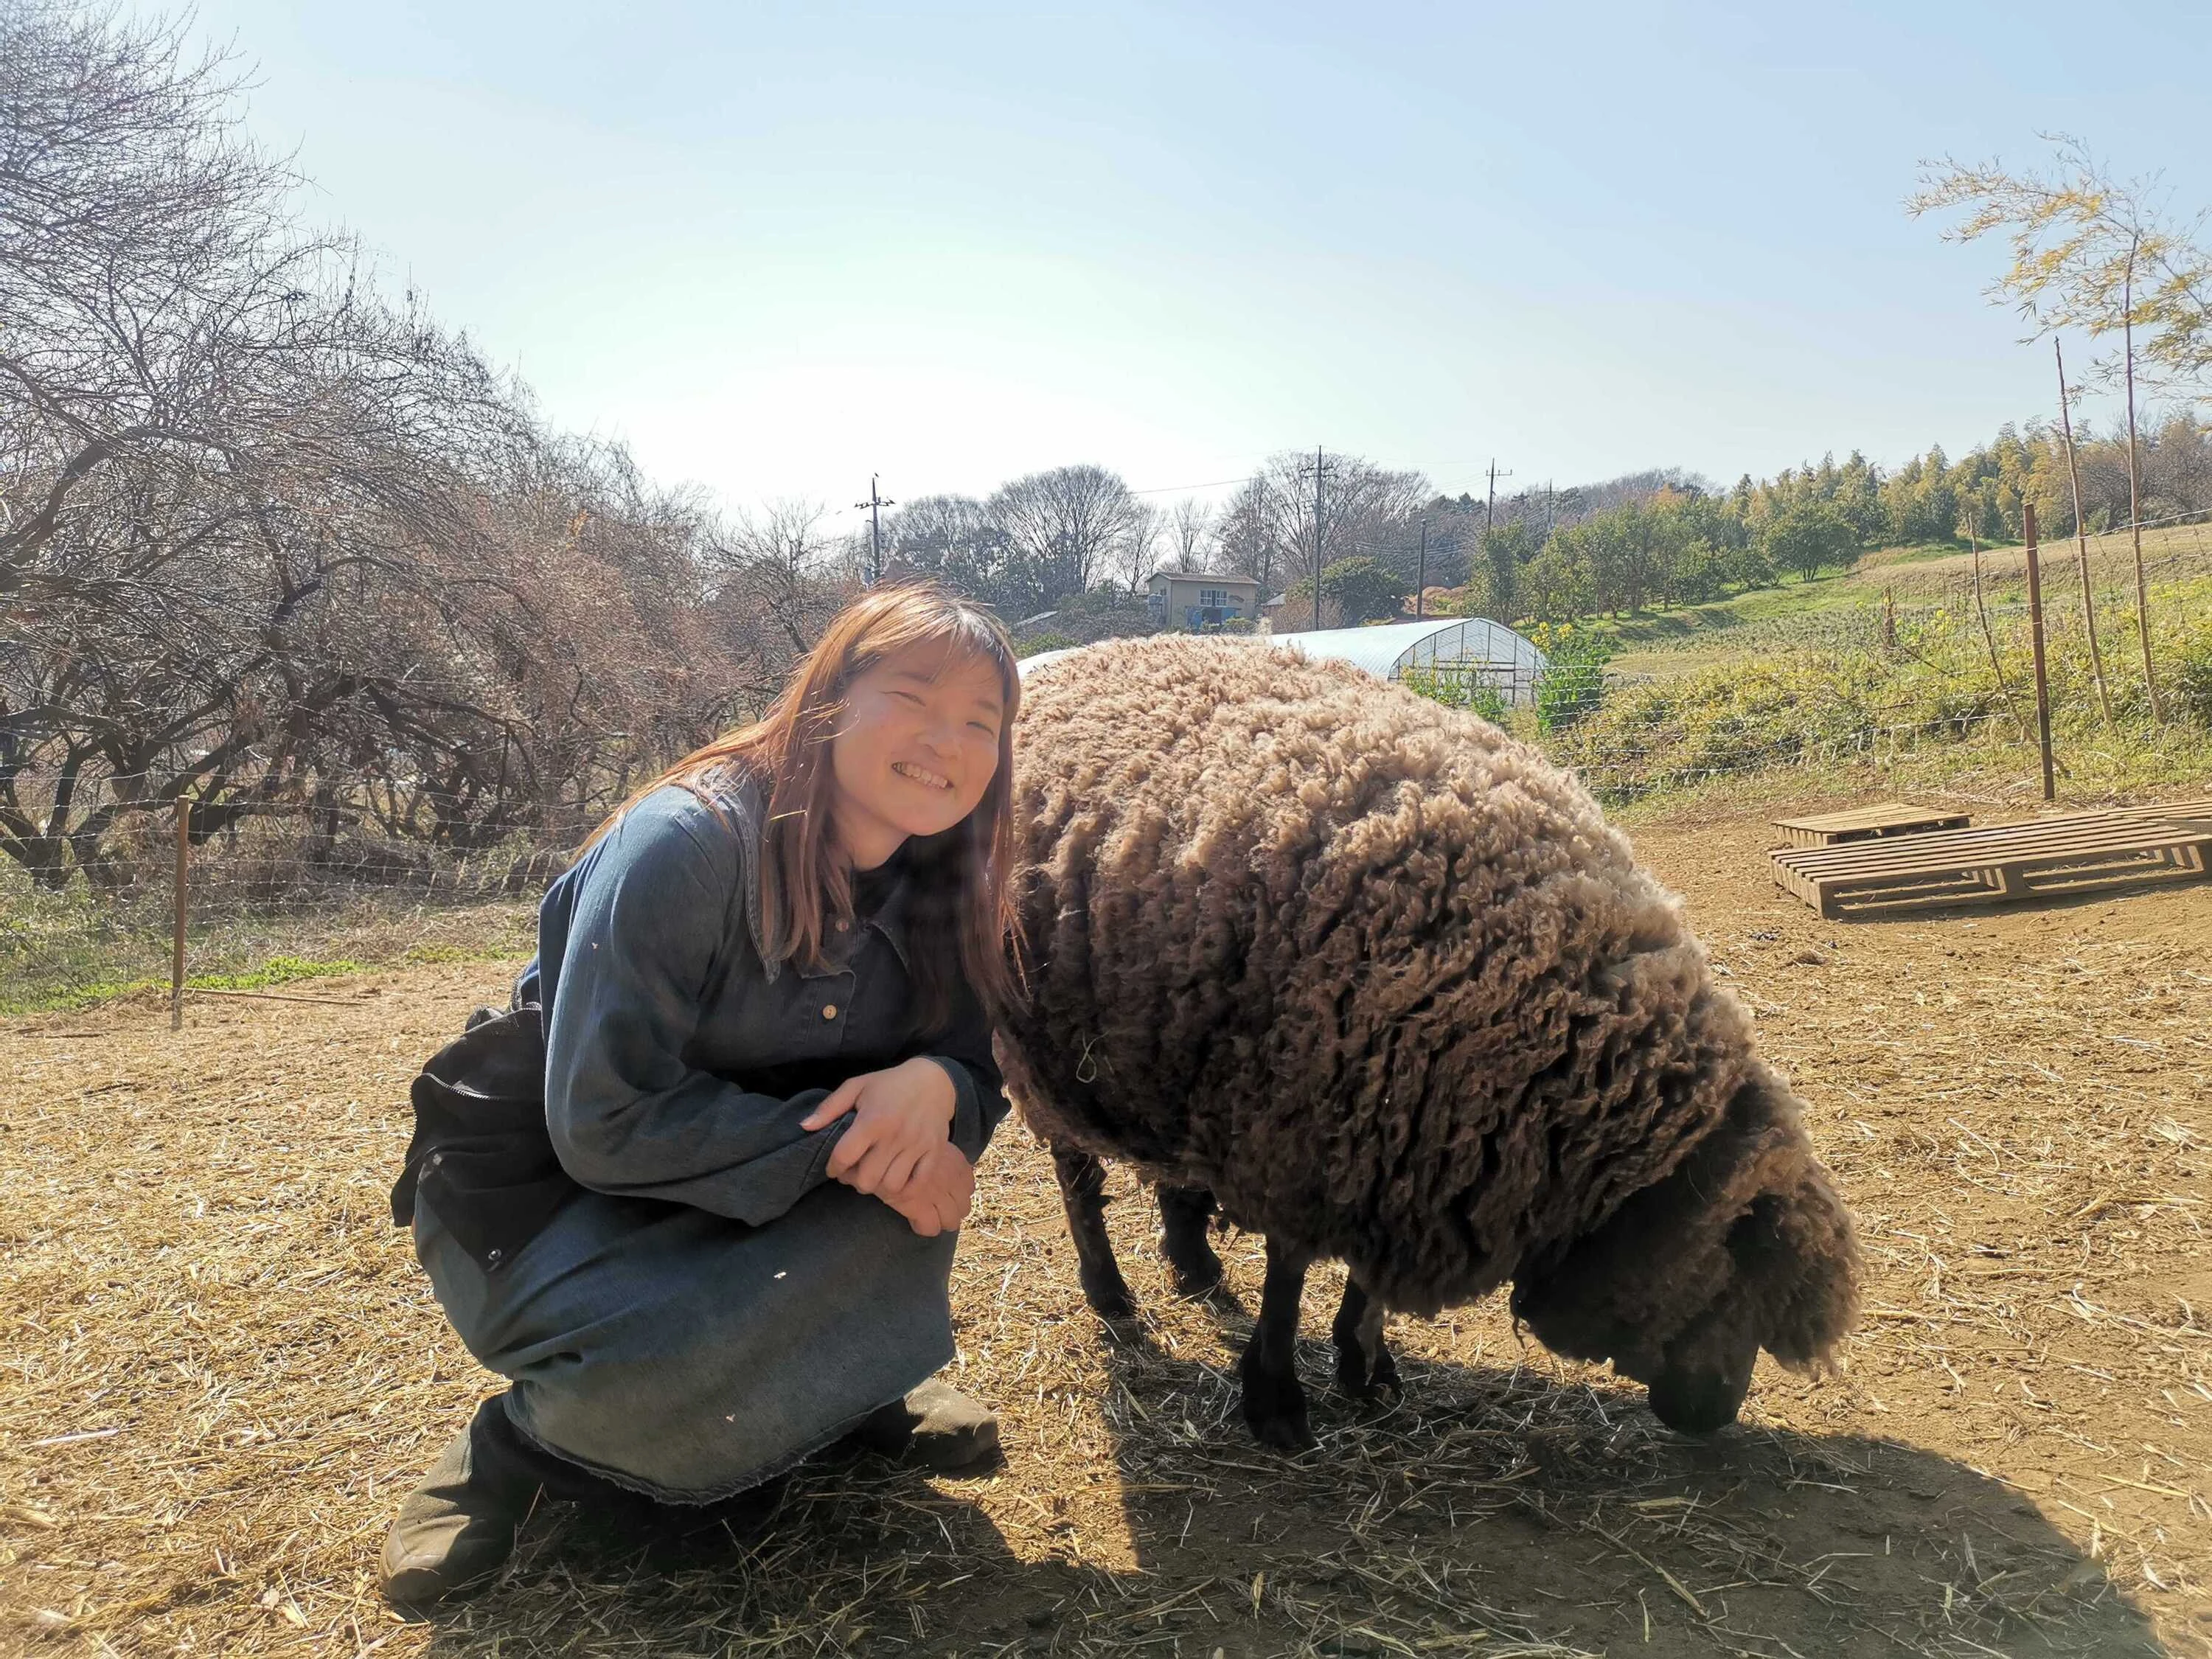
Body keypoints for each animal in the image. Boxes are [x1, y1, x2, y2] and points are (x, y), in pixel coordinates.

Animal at [997, 635, 1861, 1446]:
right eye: (1733, 1276)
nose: (1715, 1416)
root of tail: (1060, 669)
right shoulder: (1310, 1134)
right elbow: (1288, 1275)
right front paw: (1277, 1401)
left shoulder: (1400, 1140)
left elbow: (1361, 1283)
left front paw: (1365, 1364)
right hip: (1045, 1058)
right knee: (1078, 1179)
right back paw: (1110, 1291)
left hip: (1176, 1057)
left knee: (1173, 1172)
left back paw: (1196, 1264)